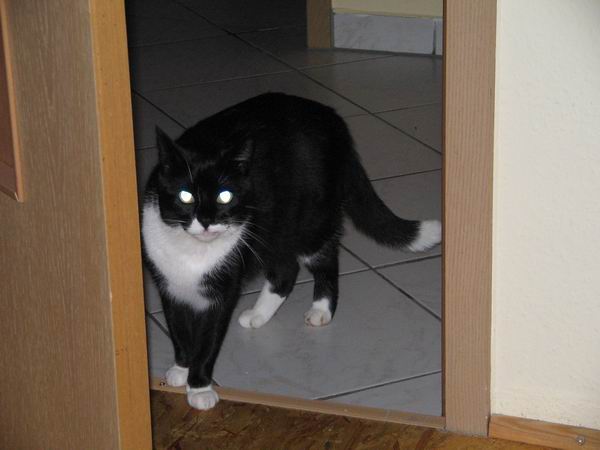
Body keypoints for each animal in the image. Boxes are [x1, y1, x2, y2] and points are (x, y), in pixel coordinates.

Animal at [141, 93, 441, 410]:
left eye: (225, 195)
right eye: (185, 195)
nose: (207, 221)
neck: (194, 252)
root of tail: (330, 116)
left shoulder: (224, 290)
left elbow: (209, 340)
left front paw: (199, 387)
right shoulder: (168, 285)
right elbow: (178, 329)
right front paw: (181, 367)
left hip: (310, 221)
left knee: (324, 260)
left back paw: (321, 310)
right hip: (274, 228)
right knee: (286, 270)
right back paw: (258, 315)